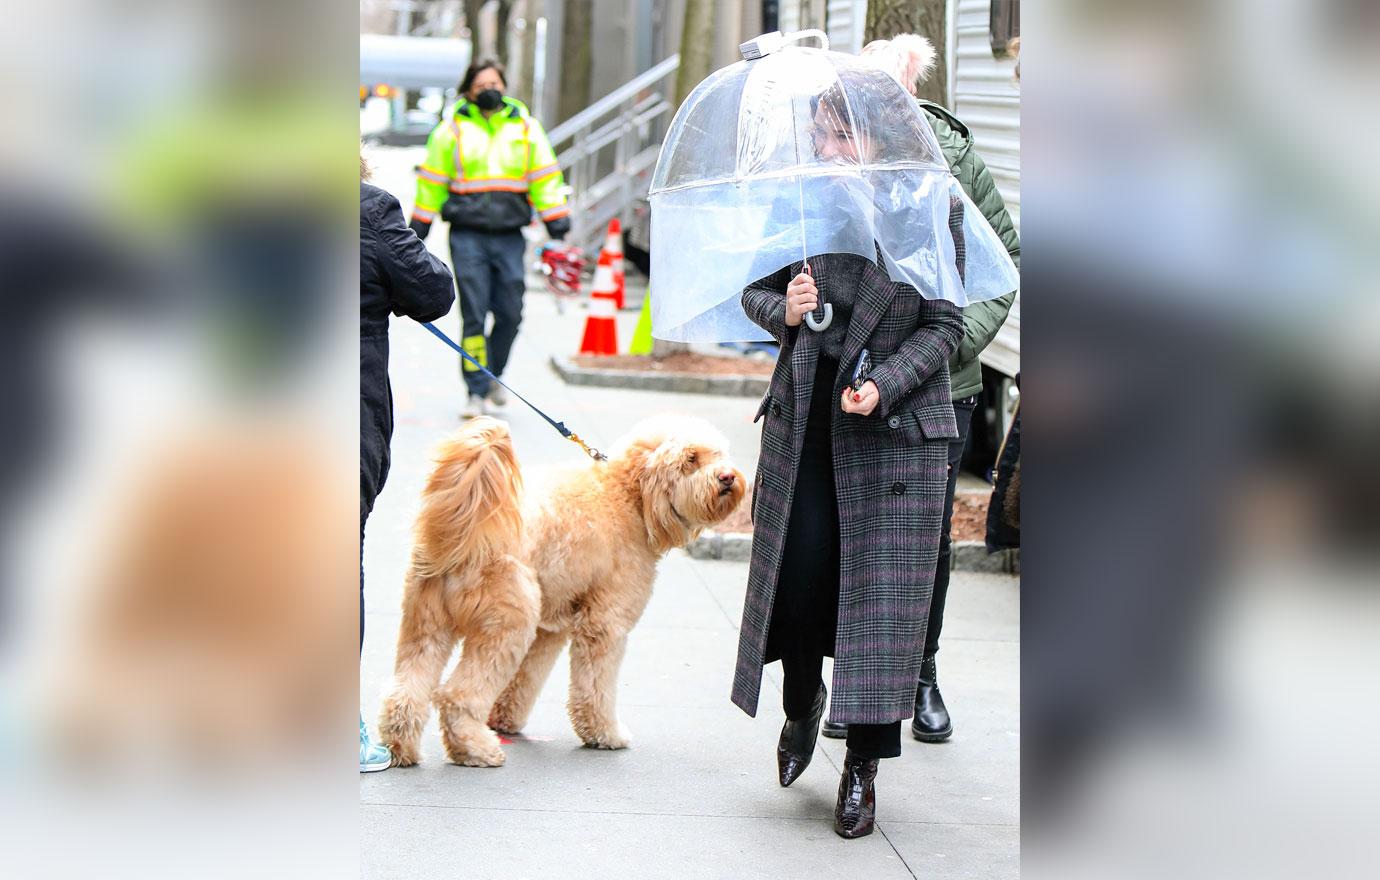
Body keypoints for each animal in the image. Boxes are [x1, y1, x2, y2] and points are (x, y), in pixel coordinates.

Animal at [378, 413, 745, 766]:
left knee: (405, 692)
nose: (728, 476)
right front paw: (605, 734)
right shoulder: (605, 624)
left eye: (719, 454)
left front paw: (506, 719)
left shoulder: (550, 626)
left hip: (427, 626)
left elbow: (526, 679)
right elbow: (595, 687)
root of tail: (468, 530)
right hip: (505, 627)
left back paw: (403, 748)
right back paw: (475, 750)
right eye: (691, 459)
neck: (627, 496)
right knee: (457, 696)